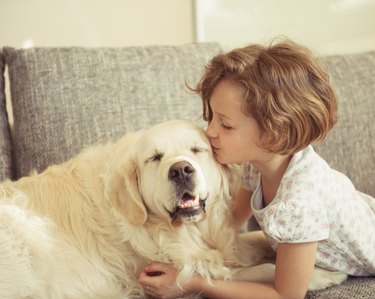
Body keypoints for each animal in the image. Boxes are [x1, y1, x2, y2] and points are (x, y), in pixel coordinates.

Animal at [0, 118, 346, 298]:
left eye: (197, 150)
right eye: (154, 158)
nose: (180, 170)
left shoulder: (223, 243)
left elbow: (254, 241)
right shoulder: (189, 266)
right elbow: (259, 273)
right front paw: (323, 275)